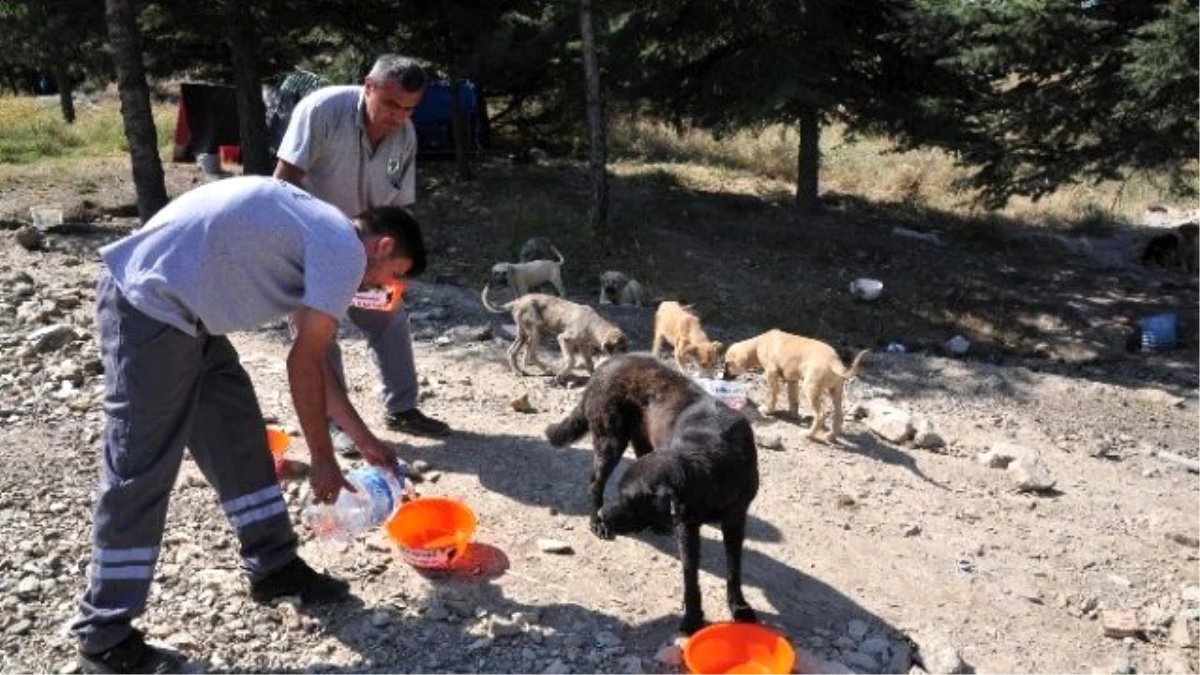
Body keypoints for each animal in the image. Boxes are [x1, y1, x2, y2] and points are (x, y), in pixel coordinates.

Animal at [480, 281, 628, 381]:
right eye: (621, 348)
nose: (627, 358)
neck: (593, 325)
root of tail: (517, 301)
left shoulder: (583, 346)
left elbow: (589, 363)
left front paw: (593, 377)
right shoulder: (563, 338)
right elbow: (571, 360)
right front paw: (561, 375)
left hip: (524, 334)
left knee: (512, 351)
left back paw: (518, 372)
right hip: (536, 331)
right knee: (530, 355)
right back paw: (547, 370)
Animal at [547, 353, 758, 629]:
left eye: (630, 499)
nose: (604, 515)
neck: (712, 464)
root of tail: (606, 364)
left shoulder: (735, 519)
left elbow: (734, 568)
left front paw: (739, 606)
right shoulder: (688, 527)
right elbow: (690, 574)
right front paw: (693, 617)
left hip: (642, 441)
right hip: (610, 441)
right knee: (595, 483)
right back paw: (595, 523)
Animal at [715, 326, 868, 441]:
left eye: (727, 364)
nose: (723, 377)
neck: (758, 343)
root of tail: (834, 360)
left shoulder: (771, 373)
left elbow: (772, 395)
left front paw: (767, 410)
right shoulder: (792, 380)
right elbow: (793, 398)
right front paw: (793, 414)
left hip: (810, 388)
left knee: (820, 415)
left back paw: (808, 434)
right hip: (835, 390)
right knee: (839, 414)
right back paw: (830, 436)